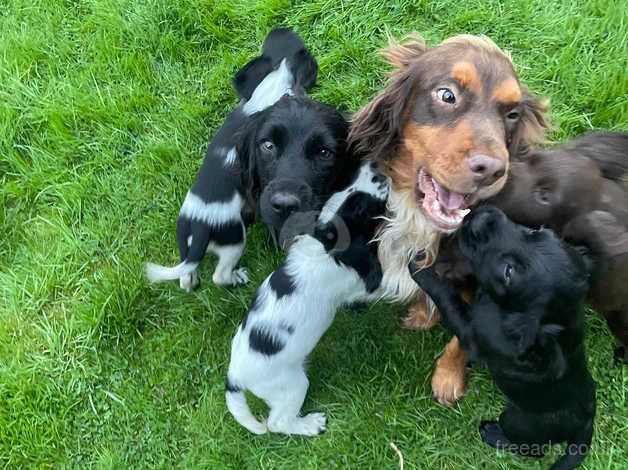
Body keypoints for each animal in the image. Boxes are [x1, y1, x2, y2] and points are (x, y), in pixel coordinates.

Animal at [145, 28, 316, 290]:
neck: (271, 86)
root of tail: (200, 225)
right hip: (234, 239)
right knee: (220, 275)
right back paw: (238, 277)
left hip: (183, 236)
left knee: (186, 270)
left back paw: (191, 280)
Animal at [221, 163, 388, 436]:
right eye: (360, 206)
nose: (377, 171)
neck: (322, 241)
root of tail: (234, 377)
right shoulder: (364, 279)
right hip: (292, 385)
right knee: (277, 422)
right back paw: (310, 424)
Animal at [410, 206, 596, 470]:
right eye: (537, 231)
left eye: (508, 272)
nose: (482, 216)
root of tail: (587, 422)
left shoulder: (473, 333)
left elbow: (449, 299)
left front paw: (422, 268)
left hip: (517, 421)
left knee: (534, 450)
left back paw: (493, 434)